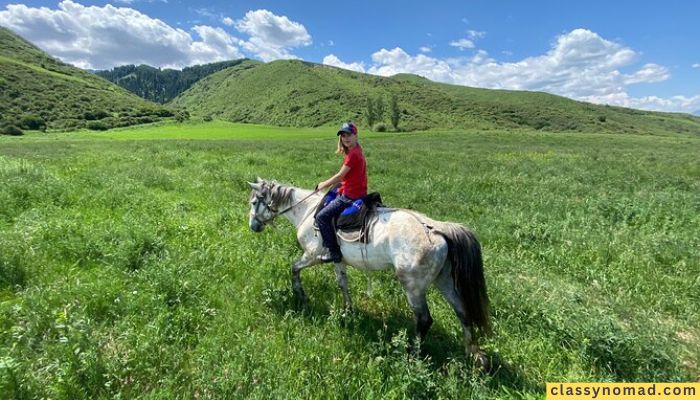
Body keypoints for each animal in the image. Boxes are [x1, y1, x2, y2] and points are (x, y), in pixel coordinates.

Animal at [249, 179, 490, 368]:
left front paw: (300, 294)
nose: (253, 226)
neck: (308, 211)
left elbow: (294, 268)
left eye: (253, 202)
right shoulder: (338, 259)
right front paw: (348, 311)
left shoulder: (312, 255)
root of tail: (437, 229)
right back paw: (472, 354)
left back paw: (412, 355)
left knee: (424, 319)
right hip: (445, 281)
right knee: (463, 312)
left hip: (413, 286)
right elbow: (342, 283)